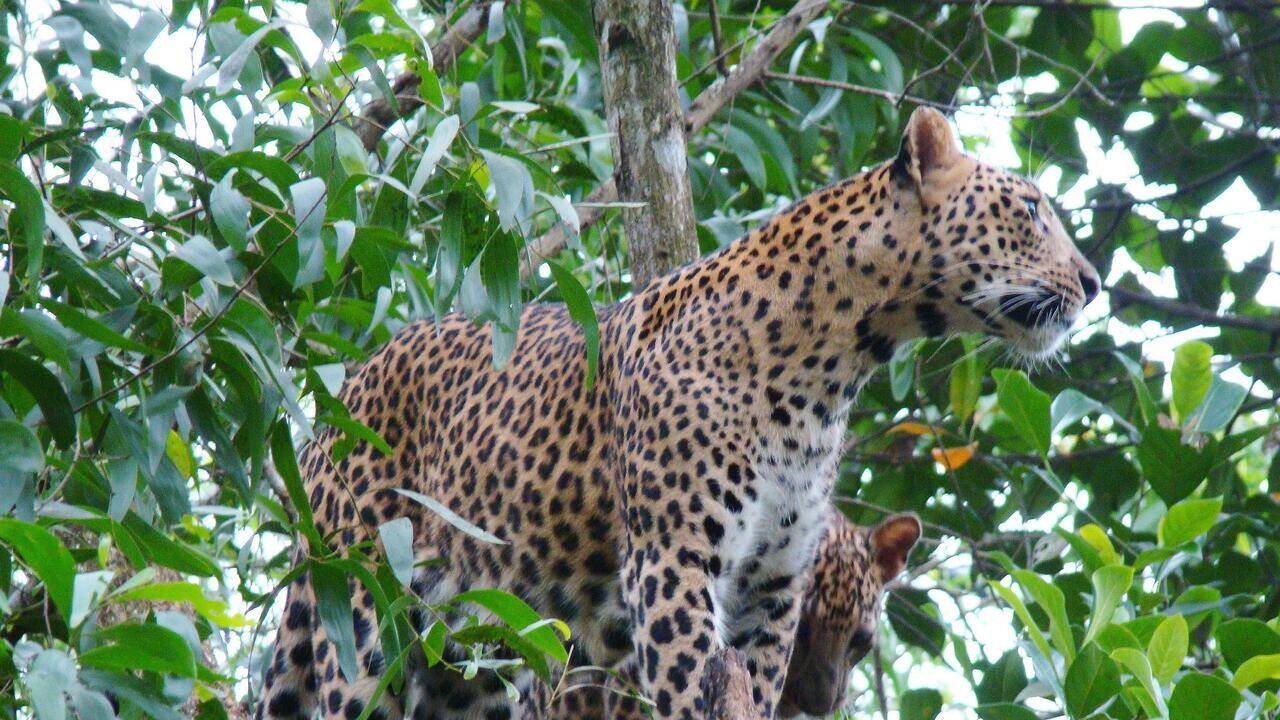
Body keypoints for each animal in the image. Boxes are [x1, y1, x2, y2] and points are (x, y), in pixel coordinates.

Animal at [255, 106, 1100, 720]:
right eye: (1030, 210)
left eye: (861, 644)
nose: (1094, 282)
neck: (835, 367)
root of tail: (338, 398)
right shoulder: (672, 561)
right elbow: (688, 688)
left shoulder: (771, 586)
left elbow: (753, 684)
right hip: (366, 614)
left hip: (474, 664)